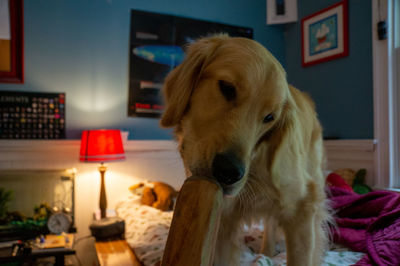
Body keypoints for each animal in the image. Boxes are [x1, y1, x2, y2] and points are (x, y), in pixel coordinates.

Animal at [160, 35, 332, 266]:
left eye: (269, 117)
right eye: (227, 88)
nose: (229, 172)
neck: (255, 166)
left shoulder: (302, 207)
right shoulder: (222, 220)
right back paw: (267, 251)